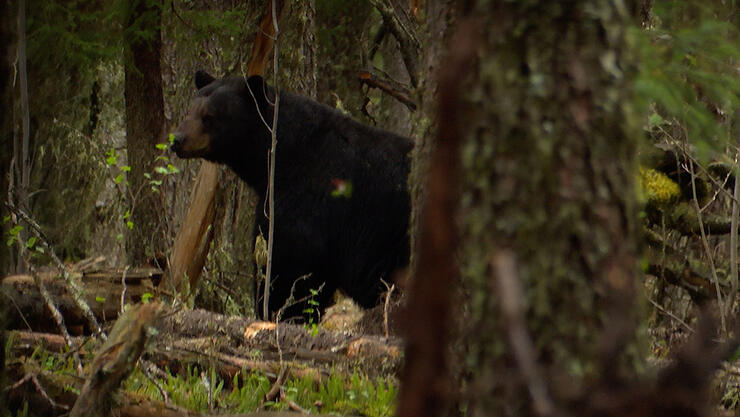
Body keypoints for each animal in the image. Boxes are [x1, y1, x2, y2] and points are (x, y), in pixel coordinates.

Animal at [173, 70, 414, 318]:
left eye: (209, 116)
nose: (177, 140)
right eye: (191, 110)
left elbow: (290, 263)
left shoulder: (310, 200)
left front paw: (277, 311)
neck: (284, 154)